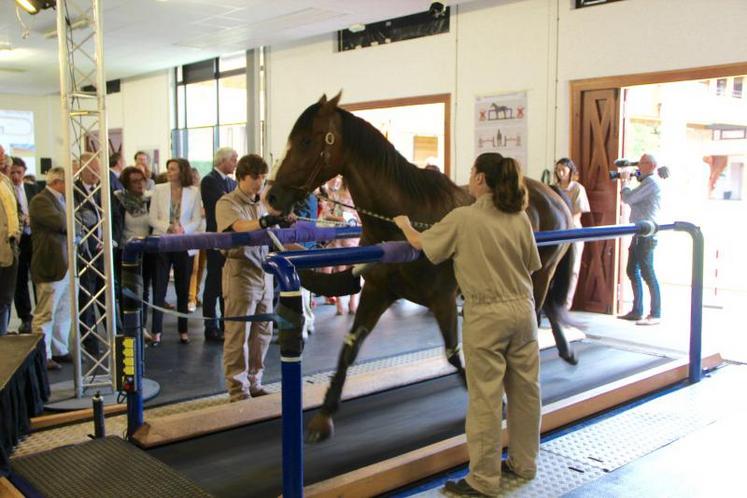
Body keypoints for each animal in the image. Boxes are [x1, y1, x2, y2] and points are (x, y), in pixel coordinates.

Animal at [268, 94, 580, 444]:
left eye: (307, 141)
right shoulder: (377, 292)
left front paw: (492, 399)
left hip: (541, 272)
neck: (404, 220)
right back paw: (566, 351)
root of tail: (552, 193)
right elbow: (349, 349)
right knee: (548, 307)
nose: (272, 196)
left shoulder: (442, 299)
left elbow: (452, 353)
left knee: (540, 310)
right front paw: (324, 415)